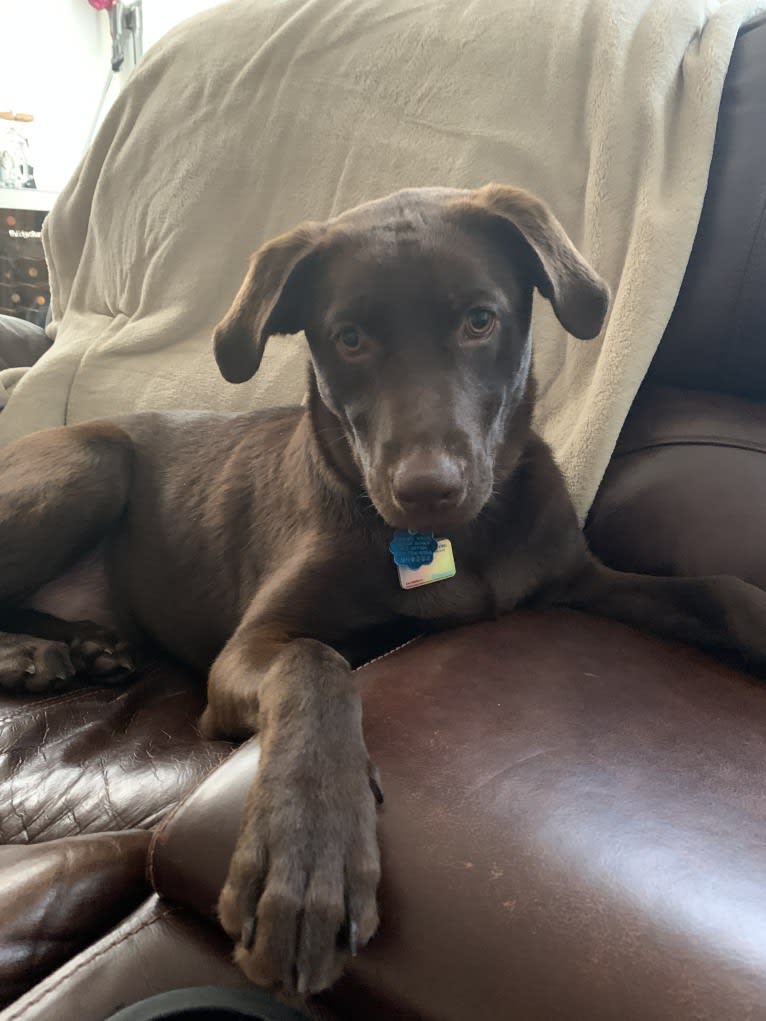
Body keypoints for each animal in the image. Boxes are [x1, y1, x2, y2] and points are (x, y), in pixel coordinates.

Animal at [1, 185, 766, 996]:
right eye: (350, 338)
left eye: (480, 320)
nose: (428, 490)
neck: (461, 542)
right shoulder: (251, 646)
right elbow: (316, 663)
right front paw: (308, 852)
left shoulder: (577, 579)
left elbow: (724, 589)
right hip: (91, 459)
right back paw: (30, 655)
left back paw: (84, 645)